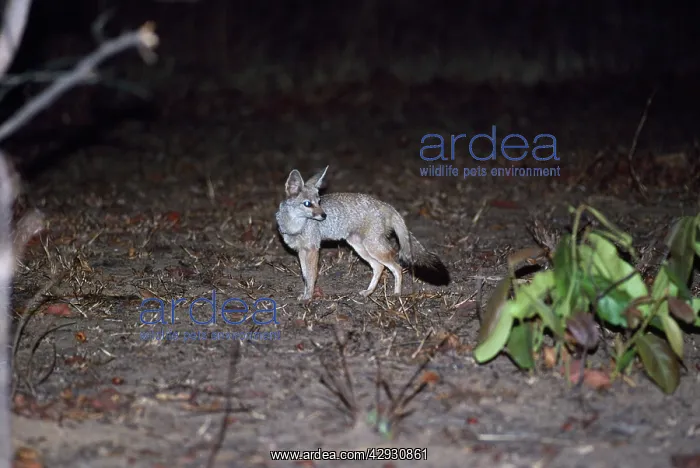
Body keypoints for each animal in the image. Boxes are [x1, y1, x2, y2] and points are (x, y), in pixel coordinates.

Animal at [275, 166, 450, 301]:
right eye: (307, 204)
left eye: (319, 202)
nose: (324, 216)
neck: (295, 227)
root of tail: (385, 204)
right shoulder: (301, 251)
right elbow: (305, 275)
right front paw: (306, 294)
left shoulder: (312, 250)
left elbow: (311, 276)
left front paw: (309, 297)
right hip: (360, 247)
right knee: (379, 267)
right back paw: (368, 292)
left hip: (373, 248)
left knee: (397, 267)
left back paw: (396, 294)